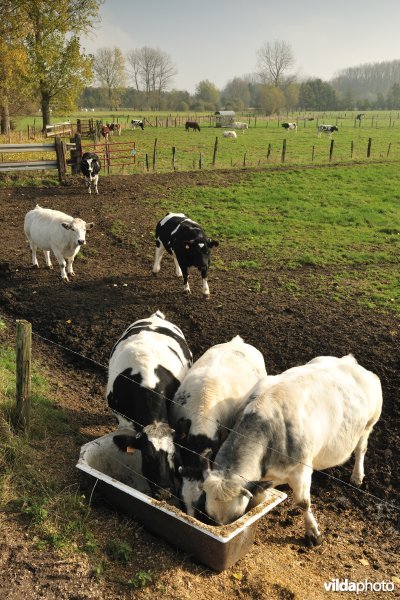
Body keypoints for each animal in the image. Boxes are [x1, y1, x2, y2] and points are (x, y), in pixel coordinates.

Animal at [202, 354, 382, 548]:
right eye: (211, 517)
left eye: (236, 515)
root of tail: (350, 361)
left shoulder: (300, 471)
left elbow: (303, 503)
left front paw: (313, 533)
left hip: (368, 425)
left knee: (360, 449)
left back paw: (357, 476)